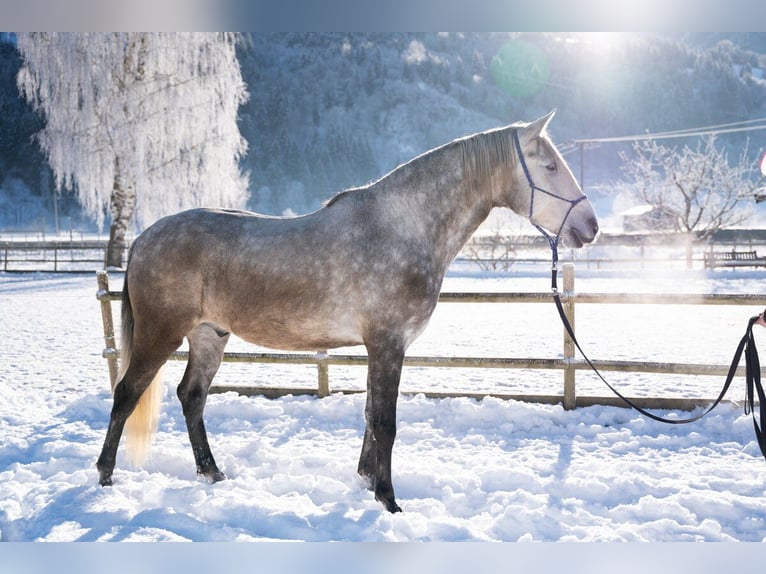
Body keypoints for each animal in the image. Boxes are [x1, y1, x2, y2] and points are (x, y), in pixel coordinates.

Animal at [96, 111, 600, 512]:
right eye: (550, 166)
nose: (590, 226)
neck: (401, 228)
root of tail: (143, 238)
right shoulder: (388, 344)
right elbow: (385, 422)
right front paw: (389, 499)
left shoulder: (379, 347)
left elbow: (370, 415)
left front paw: (366, 481)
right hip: (161, 334)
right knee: (126, 394)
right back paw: (105, 474)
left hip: (209, 334)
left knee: (192, 396)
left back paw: (212, 473)